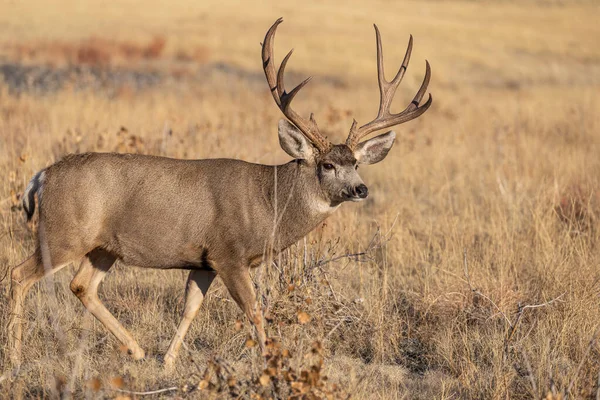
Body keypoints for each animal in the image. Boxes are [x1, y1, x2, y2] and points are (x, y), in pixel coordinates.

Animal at [5, 17, 432, 370]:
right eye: (327, 165)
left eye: (356, 163)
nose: (360, 188)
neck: (267, 202)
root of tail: (41, 176)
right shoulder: (229, 253)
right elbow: (255, 310)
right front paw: (270, 363)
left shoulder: (203, 260)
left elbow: (190, 308)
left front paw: (167, 362)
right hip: (64, 233)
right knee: (19, 274)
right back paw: (14, 357)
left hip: (102, 246)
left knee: (81, 285)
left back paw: (136, 350)